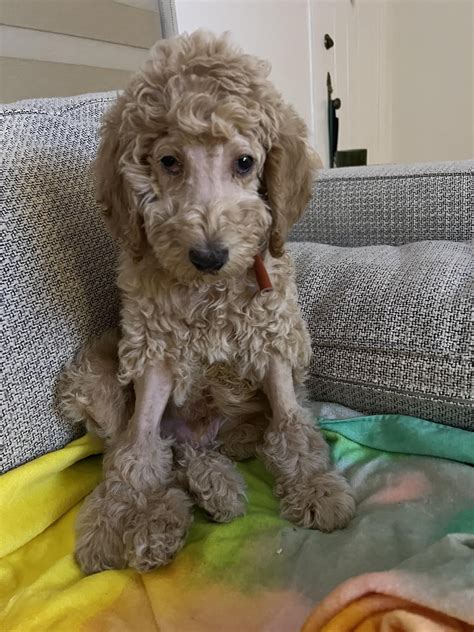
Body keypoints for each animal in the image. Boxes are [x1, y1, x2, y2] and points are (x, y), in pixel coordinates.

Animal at [61, 30, 354, 572]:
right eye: (168, 162)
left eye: (245, 162)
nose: (209, 255)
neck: (211, 292)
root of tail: (201, 435)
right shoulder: (153, 353)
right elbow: (137, 448)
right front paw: (112, 520)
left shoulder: (274, 341)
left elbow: (292, 425)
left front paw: (316, 489)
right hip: (89, 379)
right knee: (141, 447)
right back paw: (160, 518)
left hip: (237, 426)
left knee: (205, 450)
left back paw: (211, 490)